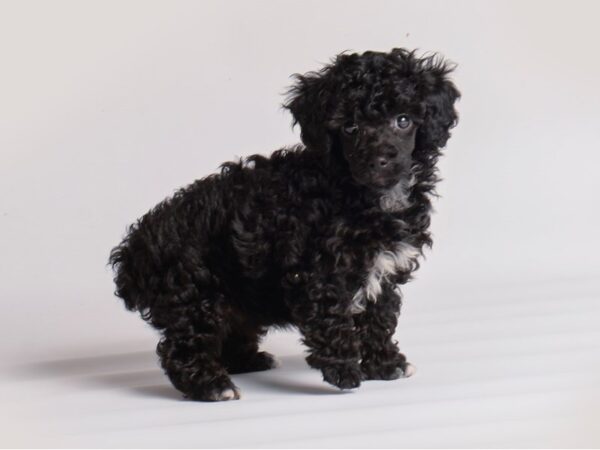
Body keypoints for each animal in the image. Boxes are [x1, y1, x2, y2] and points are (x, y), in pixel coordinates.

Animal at [109, 48, 460, 400]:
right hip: (194, 294)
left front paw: (386, 365)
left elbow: (380, 318)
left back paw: (249, 360)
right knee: (182, 348)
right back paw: (212, 386)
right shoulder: (316, 273)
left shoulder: (383, 270)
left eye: (403, 120)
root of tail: (135, 249)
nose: (379, 160)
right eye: (350, 127)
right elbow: (330, 318)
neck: (365, 195)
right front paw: (345, 371)